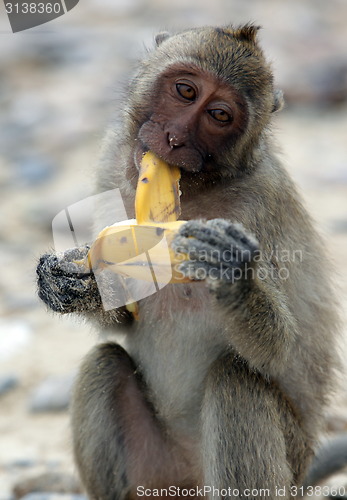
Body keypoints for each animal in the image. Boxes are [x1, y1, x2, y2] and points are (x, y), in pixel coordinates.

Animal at [36, 25, 342, 500]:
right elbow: (122, 316)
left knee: (236, 380)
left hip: (285, 465)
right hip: (155, 471)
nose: (175, 138)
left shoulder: (261, 207)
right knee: (104, 363)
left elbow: (283, 351)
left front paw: (232, 273)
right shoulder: (112, 167)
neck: (199, 190)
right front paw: (72, 283)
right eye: (185, 91)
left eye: (219, 115)